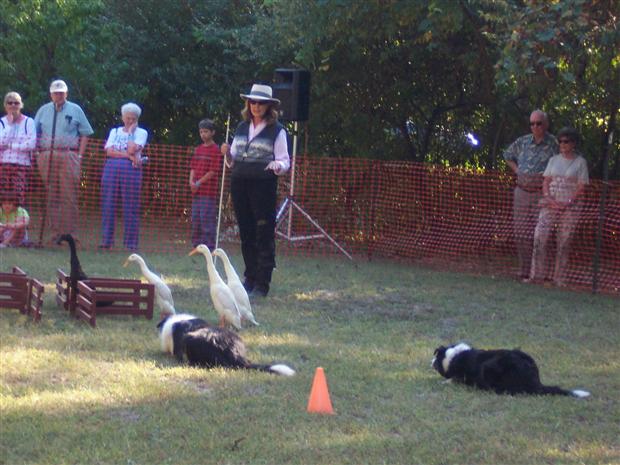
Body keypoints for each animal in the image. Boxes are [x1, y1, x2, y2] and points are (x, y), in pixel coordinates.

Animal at [432, 342, 592, 396]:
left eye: (436, 357)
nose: (430, 361)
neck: (453, 356)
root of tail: (536, 382)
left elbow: (454, 379)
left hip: (490, 367)